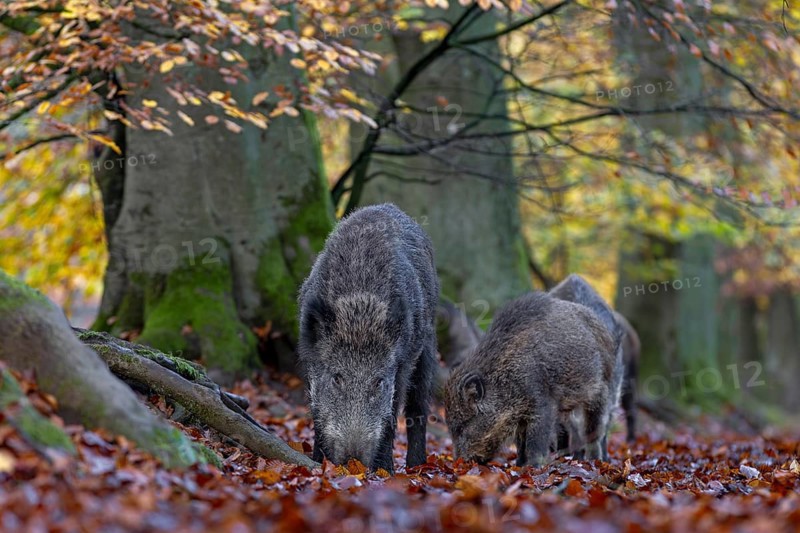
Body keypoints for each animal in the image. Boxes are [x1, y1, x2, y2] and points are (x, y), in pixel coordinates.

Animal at [297, 203, 439, 473]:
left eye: (378, 382)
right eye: (337, 378)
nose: (354, 461)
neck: (360, 310)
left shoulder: (403, 362)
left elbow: (393, 413)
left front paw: (385, 471)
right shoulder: (310, 358)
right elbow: (315, 408)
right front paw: (318, 461)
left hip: (426, 346)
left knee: (418, 405)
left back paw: (416, 466)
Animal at [444, 291, 617, 467]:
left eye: (462, 426)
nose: (458, 462)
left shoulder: (541, 403)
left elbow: (535, 442)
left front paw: (534, 467)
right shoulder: (519, 416)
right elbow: (520, 443)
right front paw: (520, 465)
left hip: (602, 390)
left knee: (595, 430)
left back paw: (595, 460)